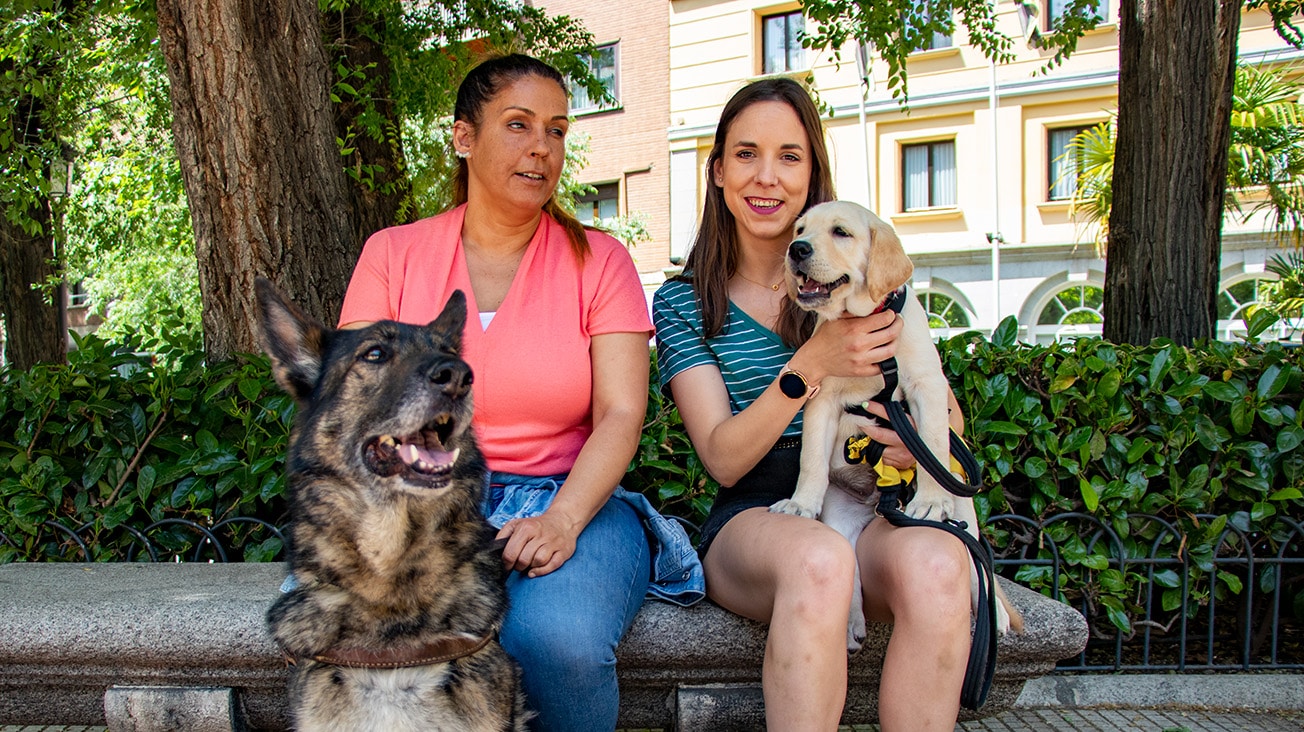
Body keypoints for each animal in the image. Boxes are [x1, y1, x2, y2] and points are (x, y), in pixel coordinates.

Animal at [766, 199, 1022, 649]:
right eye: (800, 229)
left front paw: (930, 500)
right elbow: (811, 459)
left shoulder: (927, 386)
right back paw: (851, 623)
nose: (797, 250)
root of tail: (880, 506)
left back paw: (996, 616)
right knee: (848, 559)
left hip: (964, 507)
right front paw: (800, 503)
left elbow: (932, 442)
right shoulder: (821, 397)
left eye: (841, 232)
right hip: (841, 516)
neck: (861, 321)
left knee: (975, 561)